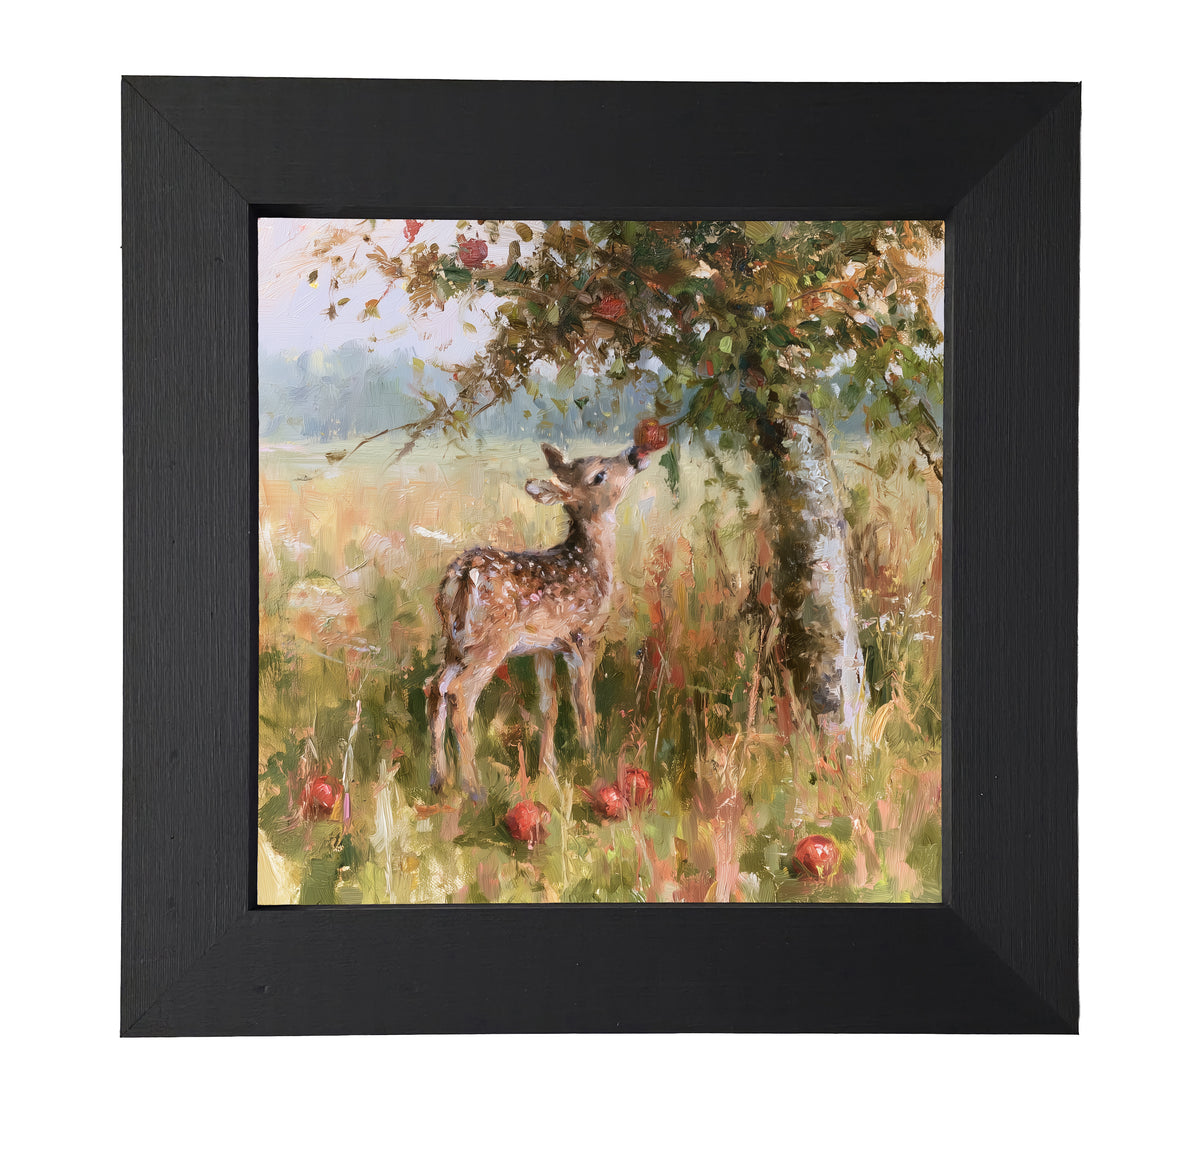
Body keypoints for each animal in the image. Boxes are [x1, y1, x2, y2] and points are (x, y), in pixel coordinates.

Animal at [426, 440, 657, 799]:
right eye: (599, 475)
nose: (634, 454)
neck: (590, 566)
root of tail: (461, 575)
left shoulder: (543, 647)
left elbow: (549, 707)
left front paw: (549, 769)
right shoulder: (582, 635)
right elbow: (584, 701)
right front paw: (591, 757)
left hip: (456, 642)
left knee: (435, 687)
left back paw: (439, 780)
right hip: (491, 643)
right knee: (459, 695)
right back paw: (474, 789)